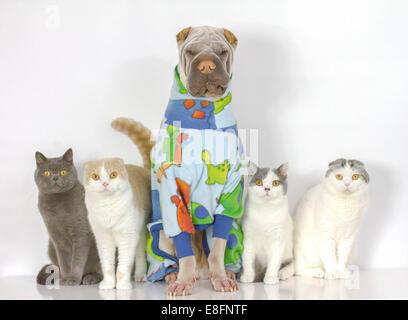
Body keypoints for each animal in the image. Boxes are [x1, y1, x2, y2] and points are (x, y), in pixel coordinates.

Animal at [34, 148, 102, 284]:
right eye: (47, 173)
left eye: (63, 172)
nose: (55, 177)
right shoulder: (57, 237)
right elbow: (64, 260)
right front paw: (65, 278)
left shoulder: (81, 232)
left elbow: (77, 259)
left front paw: (73, 279)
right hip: (50, 247)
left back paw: (91, 278)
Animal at [83, 158, 151, 290]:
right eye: (95, 176)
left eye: (113, 174)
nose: (105, 183)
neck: (108, 207)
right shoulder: (103, 239)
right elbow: (107, 264)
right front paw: (108, 283)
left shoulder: (128, 237)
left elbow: (124, 263)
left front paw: (123, 284)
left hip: (140, 232)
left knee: (140, 254)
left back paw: (140, 275)